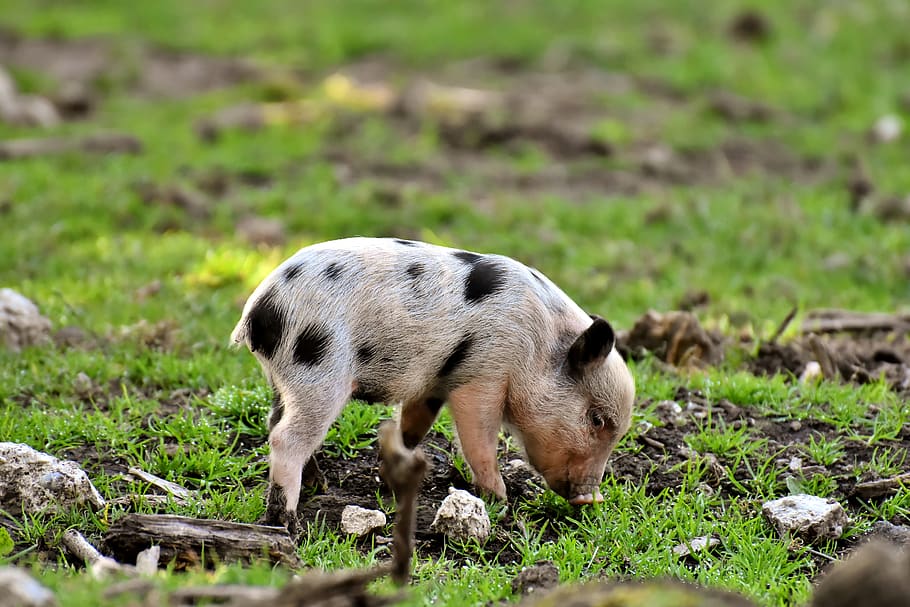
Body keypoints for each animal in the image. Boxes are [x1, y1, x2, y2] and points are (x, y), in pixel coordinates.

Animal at [231, 237, 634, 537]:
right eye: (597, 419)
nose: (591, 498)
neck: (538, 346)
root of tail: (259, 310)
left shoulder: (433, 384)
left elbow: (413, 427)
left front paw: (394, 474)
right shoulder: (482, 376)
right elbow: (478, 439)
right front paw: (500, 500)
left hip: (287, 380)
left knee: (275, 422)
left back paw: (320, 485)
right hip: (319, 371)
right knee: (286, 438)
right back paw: (286, 524)